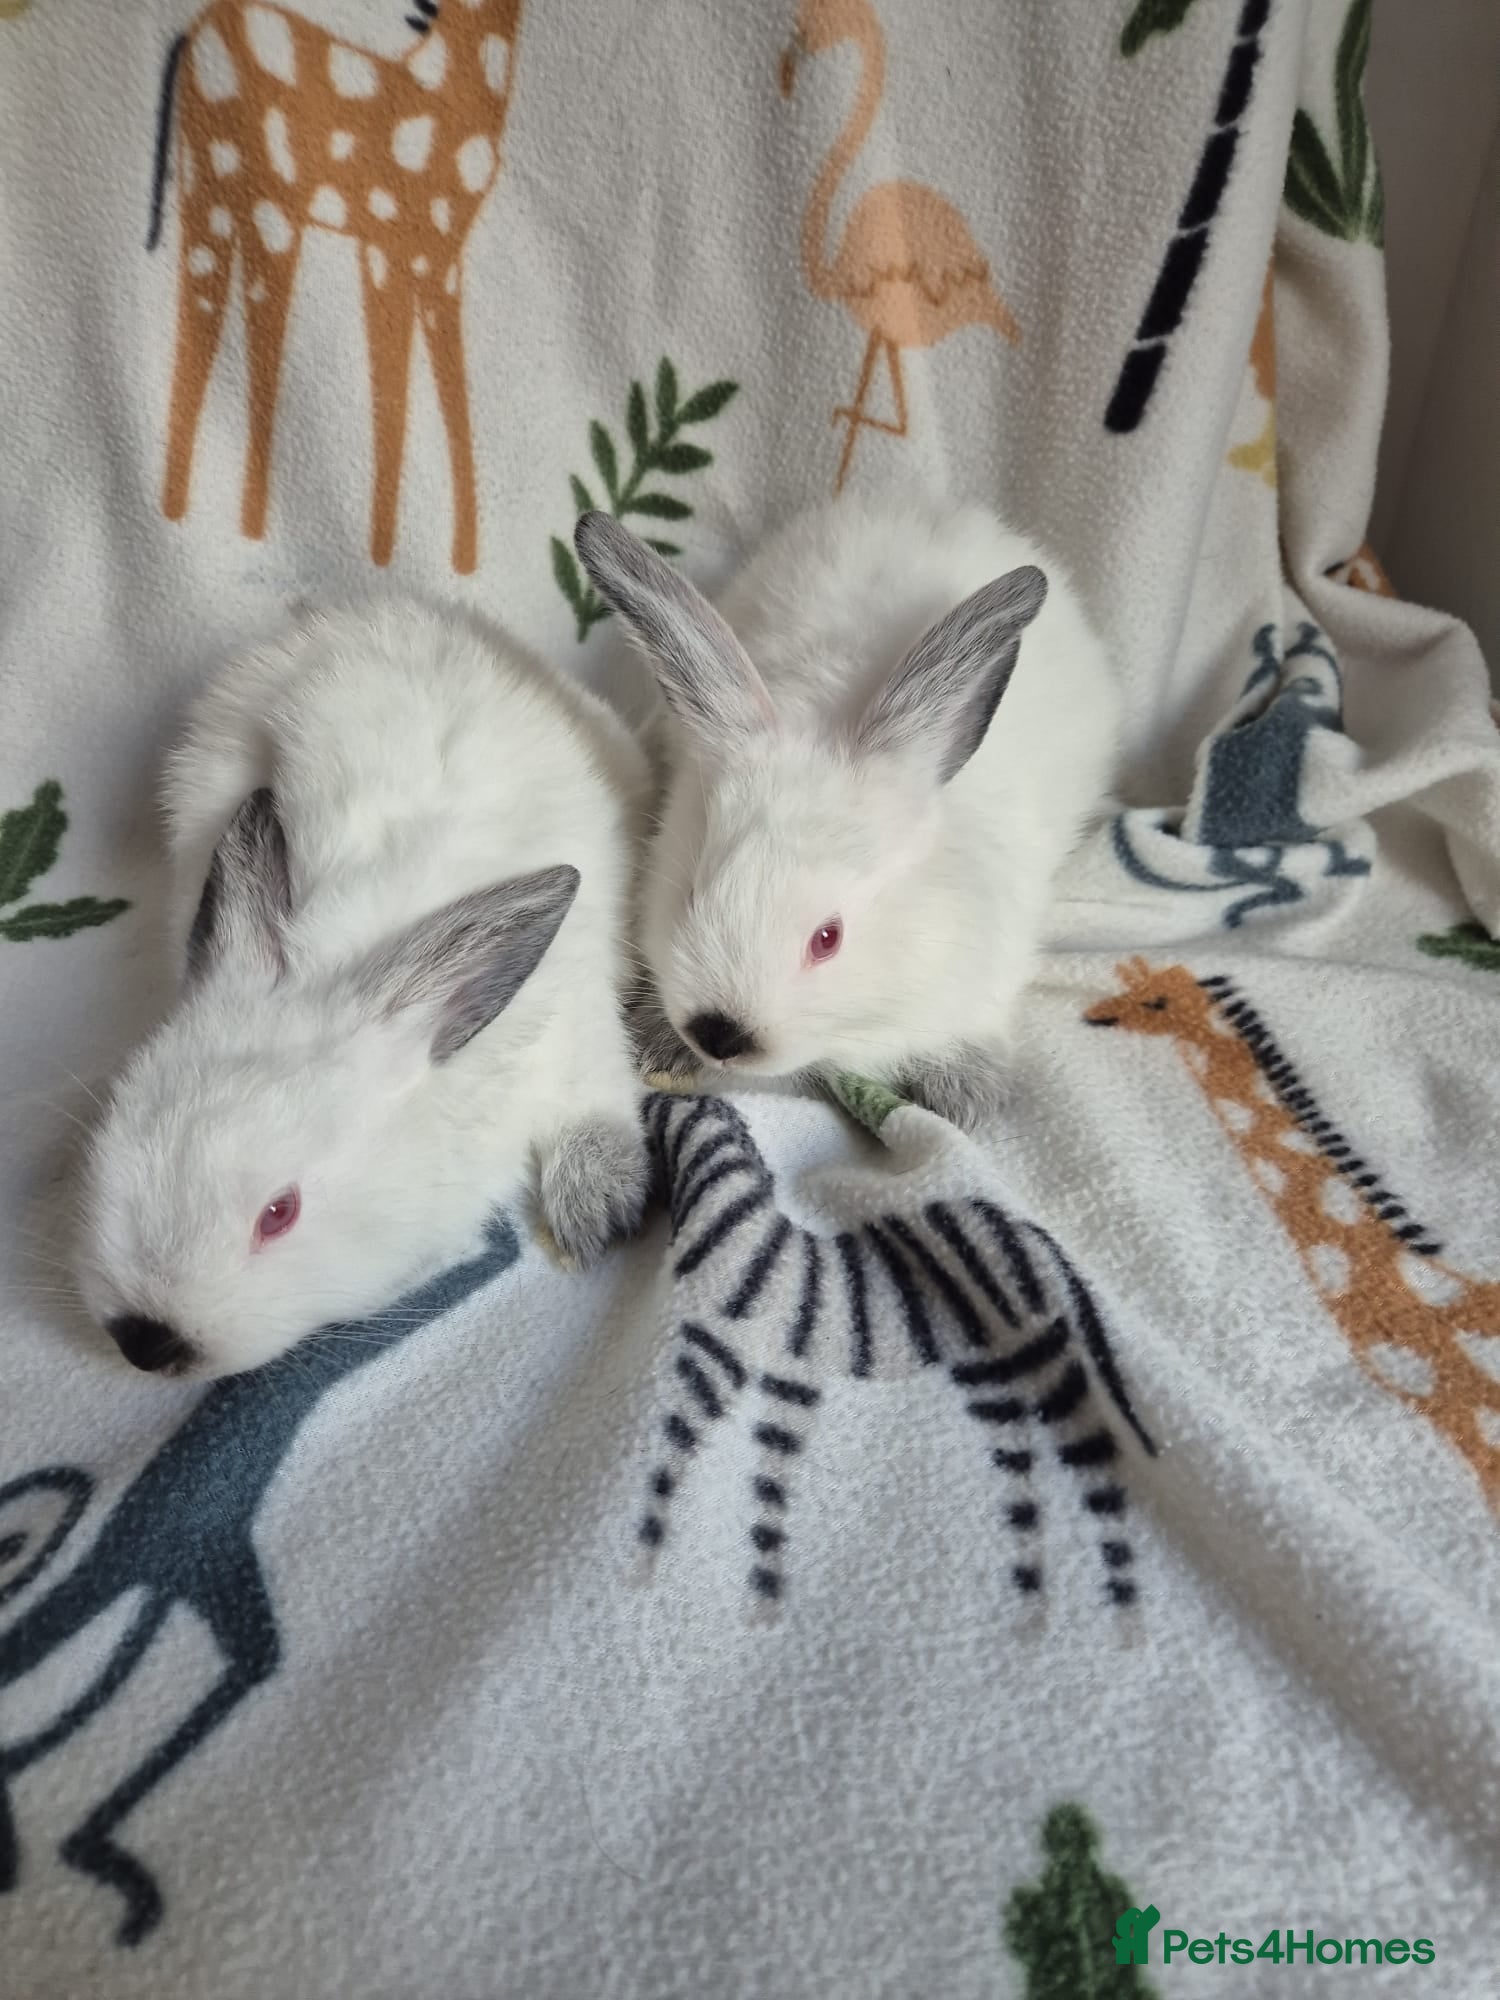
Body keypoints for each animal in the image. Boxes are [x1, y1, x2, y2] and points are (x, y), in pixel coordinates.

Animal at [75, 601, 653, 1381]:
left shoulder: (577, 1047)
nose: (145, 1341)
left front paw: (597, 1216)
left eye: (279, 1213)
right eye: (110, 1135)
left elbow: (596, 1116)